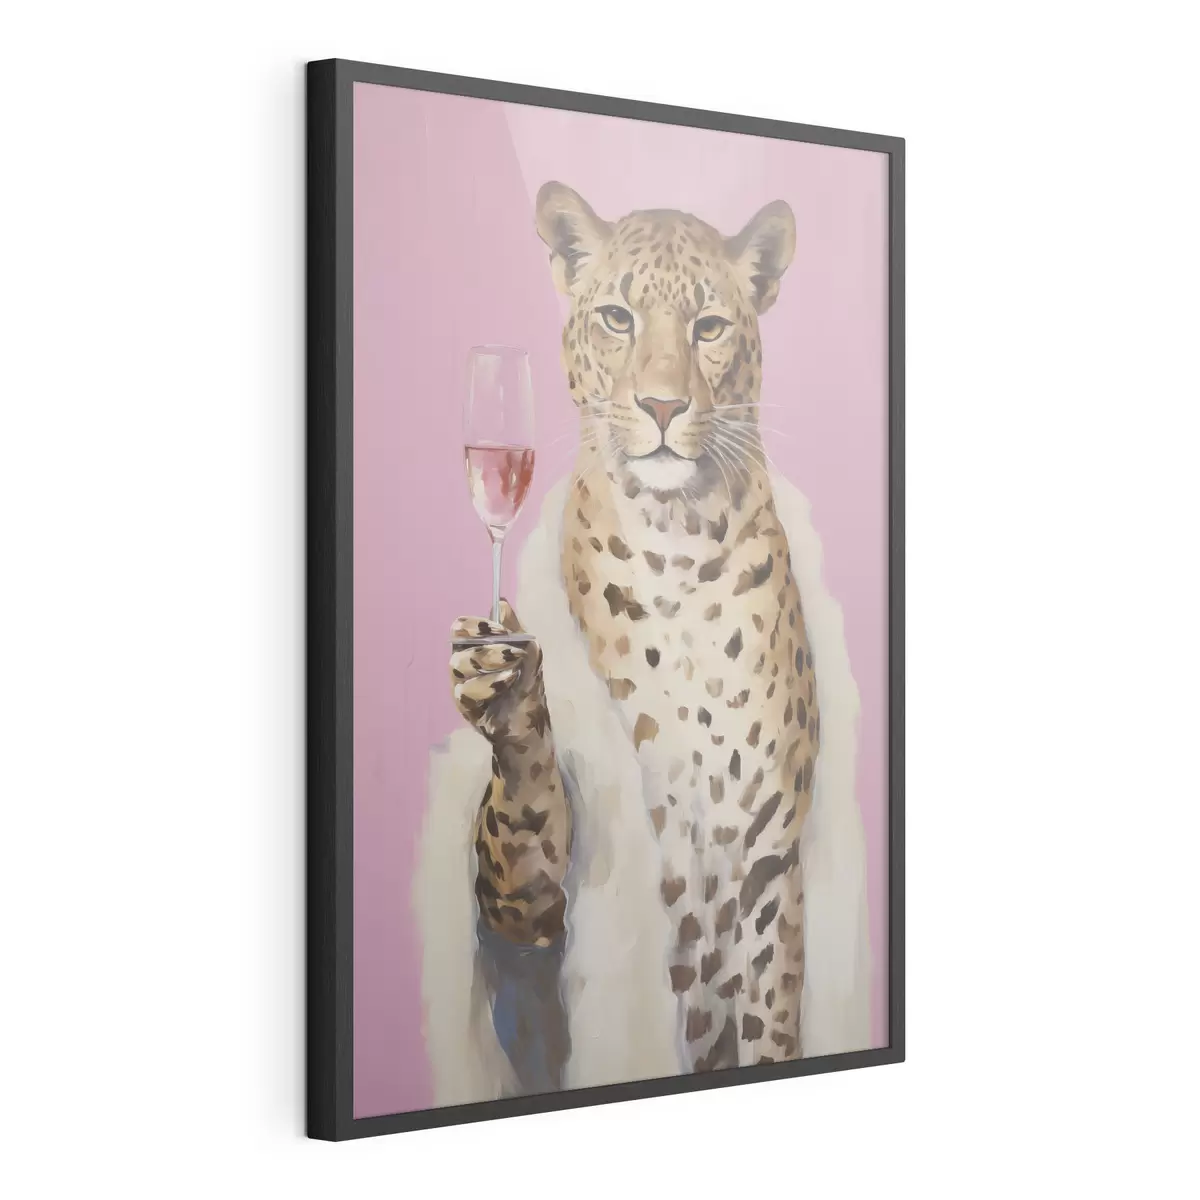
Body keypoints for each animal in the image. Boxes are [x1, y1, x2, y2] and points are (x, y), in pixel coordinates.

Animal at [449, 181, 819, 1075]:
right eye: (617, 317)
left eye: (709, 327)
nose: (661, 404)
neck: (677, 541)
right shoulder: (537, 898)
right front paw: (504, 693)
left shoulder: (766, 852)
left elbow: (768, 1018)